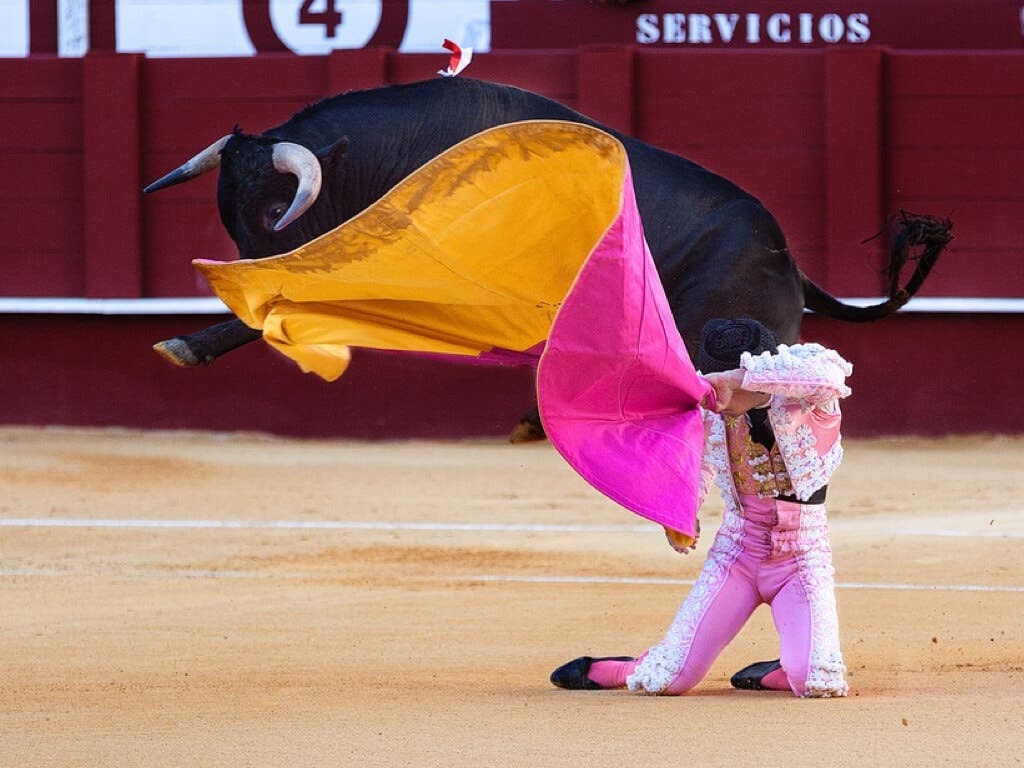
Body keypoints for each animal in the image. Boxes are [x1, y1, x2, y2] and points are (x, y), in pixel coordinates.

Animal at [146, 78, 950, 438]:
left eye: (272, 213)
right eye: (229, 216)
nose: (237, 281)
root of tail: (788, 256)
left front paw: (189, 342)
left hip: (722, 336)